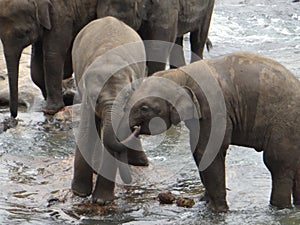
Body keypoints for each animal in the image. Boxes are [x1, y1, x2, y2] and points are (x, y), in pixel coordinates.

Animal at [71, 16, 149, 205]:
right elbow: (87, 130)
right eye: (95, 98)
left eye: (126, 95)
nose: (138, 127)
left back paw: (140, 163)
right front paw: (79, 193)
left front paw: (101, 201)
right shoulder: (85, 96)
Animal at [126, 51, 300, 212]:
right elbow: (198, 151)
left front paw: (217, 210)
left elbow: (208, 150)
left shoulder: (212, 106)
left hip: (285, 124)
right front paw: (204, 201)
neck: (181, 74)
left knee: (276, 163)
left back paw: (279, 208)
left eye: (144, 108)